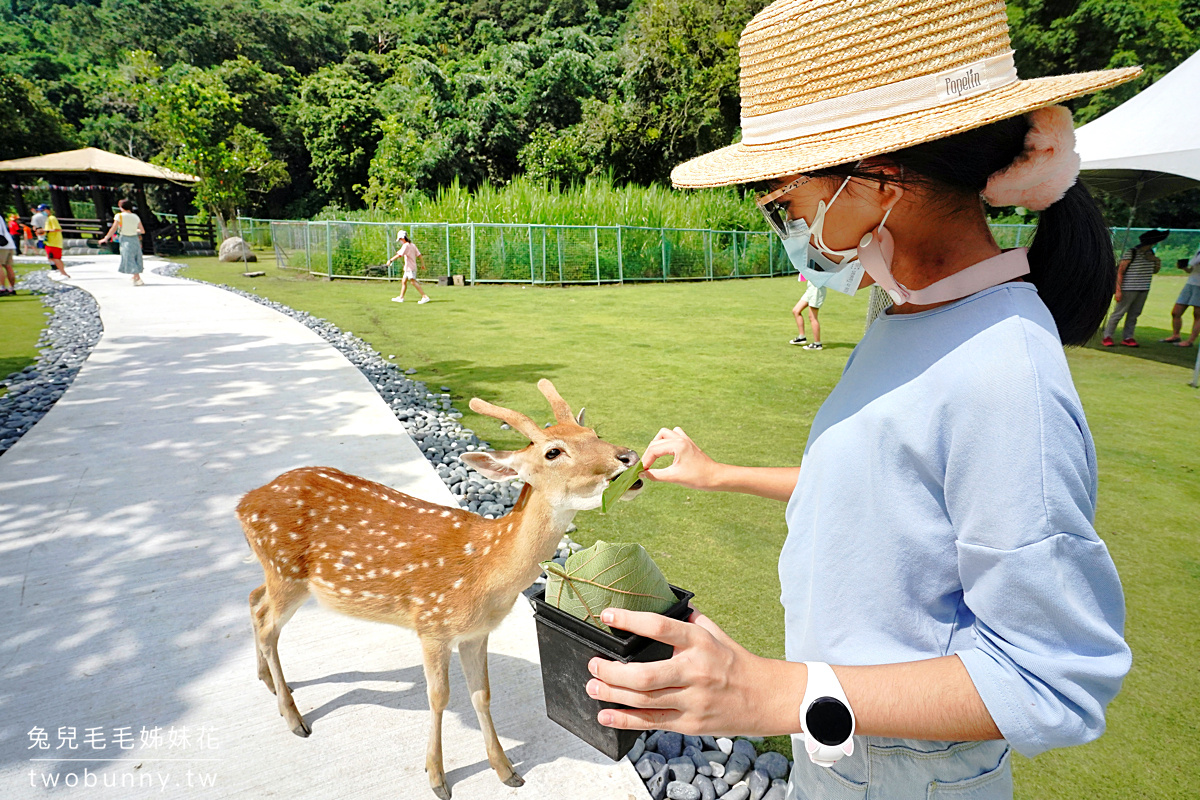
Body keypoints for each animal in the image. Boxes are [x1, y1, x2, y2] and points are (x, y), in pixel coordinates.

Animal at [237, 381, 643, 800]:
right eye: (553, 451)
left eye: (594, 432)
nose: (628, 457)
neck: (486, 571)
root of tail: (243, 503)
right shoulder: (431, 623)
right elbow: (439, 697)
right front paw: (436, 777)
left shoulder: (476, 633)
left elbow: (482, 694)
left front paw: (506, 770)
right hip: (286, 571)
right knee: (268, 625)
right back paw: (294, 718)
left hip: (276, 572)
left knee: (254, 601)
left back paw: (267, 682)